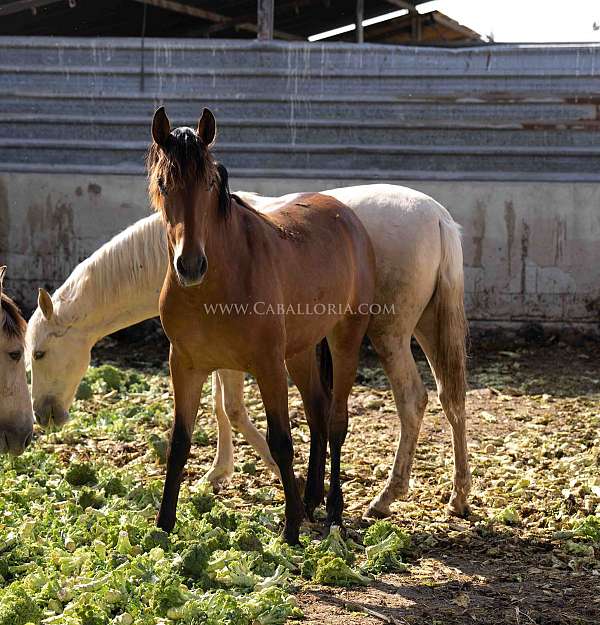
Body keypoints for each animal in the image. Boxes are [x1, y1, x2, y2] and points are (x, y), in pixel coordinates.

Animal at [27, 185, 468, 516]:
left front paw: (282, 474)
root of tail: (438, 218)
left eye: (39, 354)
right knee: (452, 400)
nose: (44, 416)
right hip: (428, 327)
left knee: (412, 400)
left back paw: (386, 496)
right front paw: (219, 473)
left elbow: (233, 409)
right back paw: (458, 496)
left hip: (389, 333)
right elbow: (222, 407)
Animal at [148, 107, 376, 540]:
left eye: (209, 182)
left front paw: (290, 529)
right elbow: (180, 442)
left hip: (344, 338)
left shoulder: (268, 365)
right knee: (317, 411)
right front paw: (163, 525)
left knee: (336, 420)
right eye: (164, 184)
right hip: (300, 350)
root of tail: (346, 216)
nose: (190, 265)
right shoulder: (184, 365)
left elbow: (281, 441)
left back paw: (333, 509)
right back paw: (312, 499)